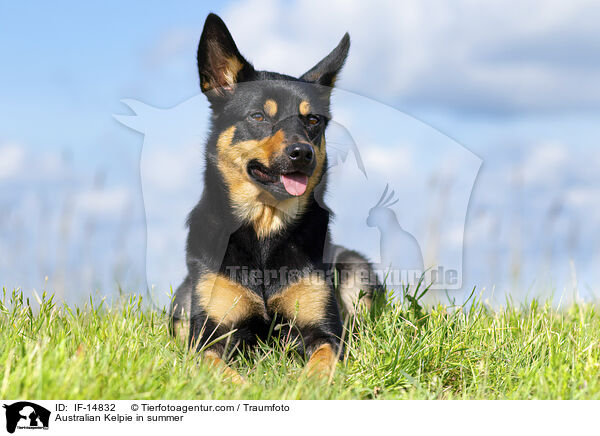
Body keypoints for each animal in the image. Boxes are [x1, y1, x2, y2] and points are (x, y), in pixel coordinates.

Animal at [169, 13, 382, 382]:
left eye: (312, 120)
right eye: (259, 116)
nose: (303, 153)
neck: (264, 231)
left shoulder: (324, 331)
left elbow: (322, 358)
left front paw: (308, 385)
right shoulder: (209, 335)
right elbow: (219, 369)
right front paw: (243, 387)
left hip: (357, 270)